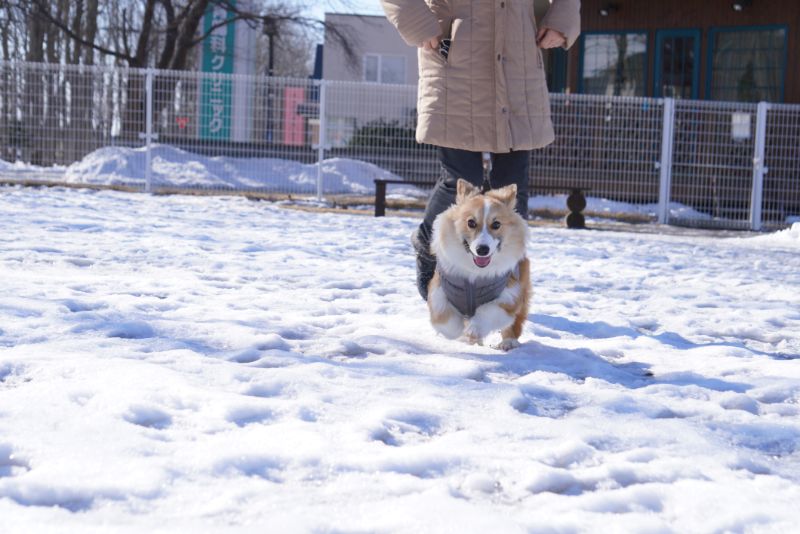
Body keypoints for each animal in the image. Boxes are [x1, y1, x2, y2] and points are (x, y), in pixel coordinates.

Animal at [424, 181, 532, 352]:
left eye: (496, 224)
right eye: (471, 222)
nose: (482, 250)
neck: (474, 274)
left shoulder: (510, 294)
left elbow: (489, 312)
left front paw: (473, 329)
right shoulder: (439, 289)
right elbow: (444, 319)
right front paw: (462, 333)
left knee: (514, 323)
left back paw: (508, 342)